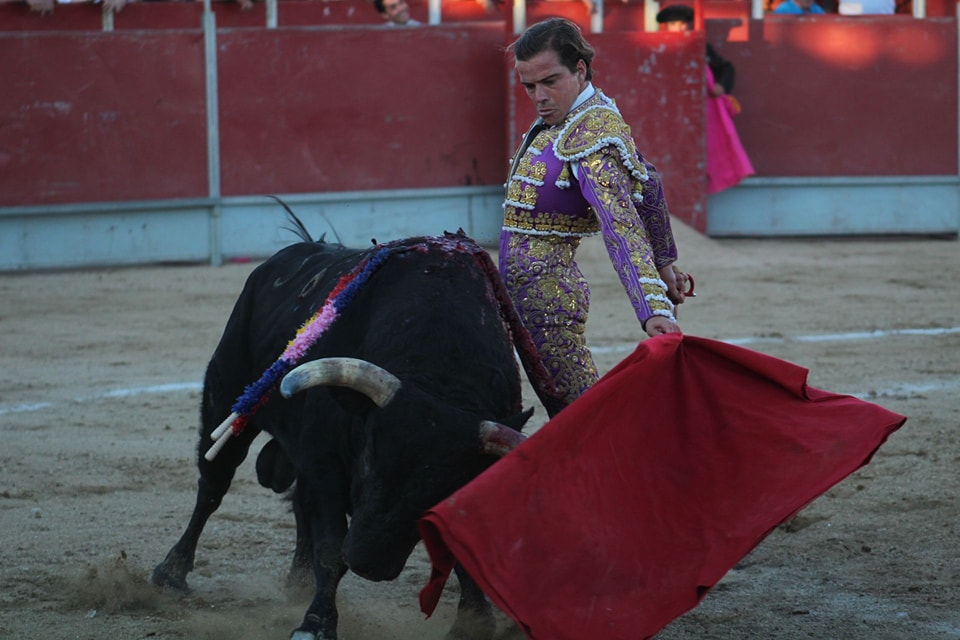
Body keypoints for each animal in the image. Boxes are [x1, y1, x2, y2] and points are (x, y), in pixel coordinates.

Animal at [152, 230, 564, 640]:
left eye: (442, 489)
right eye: (368, 460)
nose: (370, 563)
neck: (441, 375)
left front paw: (473, 623)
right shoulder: (325, 464)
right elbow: (332, 549)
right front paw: (315, 624)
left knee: (296, 503)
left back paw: (299, 581)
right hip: (225, 396)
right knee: (213, 486)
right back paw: (171, 573)